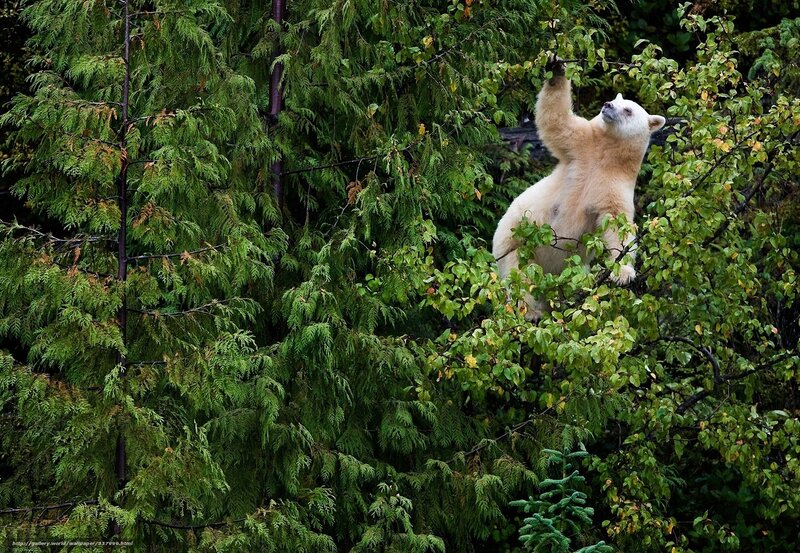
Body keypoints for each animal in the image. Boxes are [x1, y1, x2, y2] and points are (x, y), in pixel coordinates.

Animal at [492, 57, 665, 320]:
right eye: (614, 99)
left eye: (628, 109)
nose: (607, 105)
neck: (605, 155)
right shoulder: (580, 147)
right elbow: (557, 122)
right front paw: (556, 68)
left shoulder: (615, 185)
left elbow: (618, 224)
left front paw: (623, 273)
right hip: (512, 242)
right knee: (519, 275)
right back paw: (531, 311)